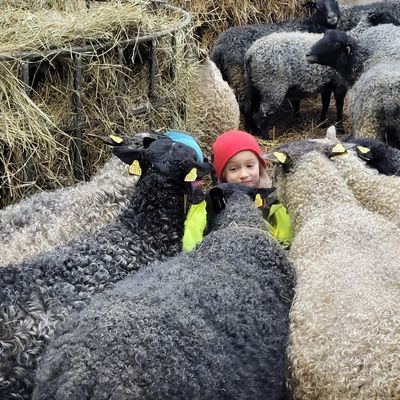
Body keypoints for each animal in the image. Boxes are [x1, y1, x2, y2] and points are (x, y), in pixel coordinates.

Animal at [211, 0, 340, 119]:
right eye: (317, 6)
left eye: (335, 2)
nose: (332, 17)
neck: (311, 25)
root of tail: (219, 47)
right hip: (239, 77)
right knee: (244, 106)